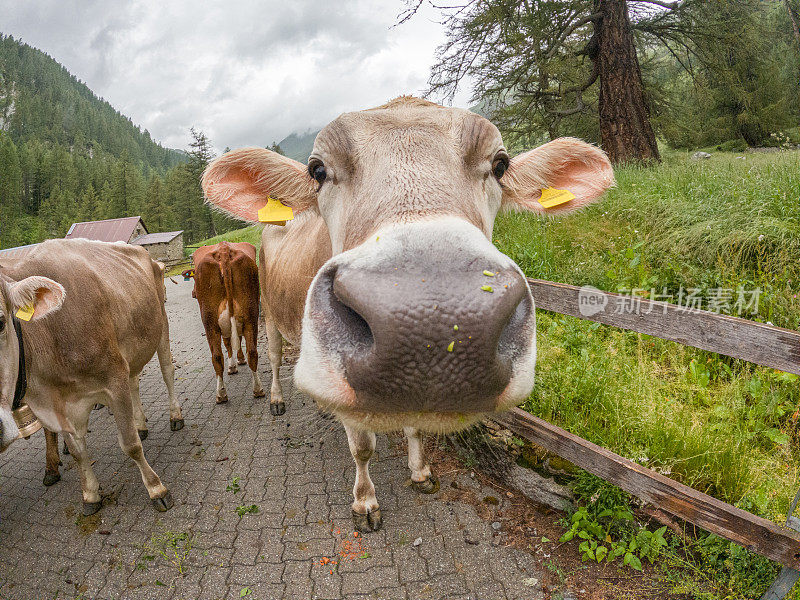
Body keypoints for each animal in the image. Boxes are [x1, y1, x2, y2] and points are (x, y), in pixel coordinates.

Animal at [0, 239, 183, 516]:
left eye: (0, 322)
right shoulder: (57, 408)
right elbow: (78, 453)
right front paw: (90, 495)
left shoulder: (113, 379)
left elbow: (129, 444)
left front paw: (156, 489)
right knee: (134, 382)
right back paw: (140, 424)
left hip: (160, 323)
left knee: (167, 372)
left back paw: (175, 416)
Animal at [200, 96, 612, 532]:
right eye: (318, 170)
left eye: (500, 164)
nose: (434, 321)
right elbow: (362, 447)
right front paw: (365, 501)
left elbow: (415, 425)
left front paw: (420, 471)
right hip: (268, 314)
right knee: (275, 357)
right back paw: (277, 398)